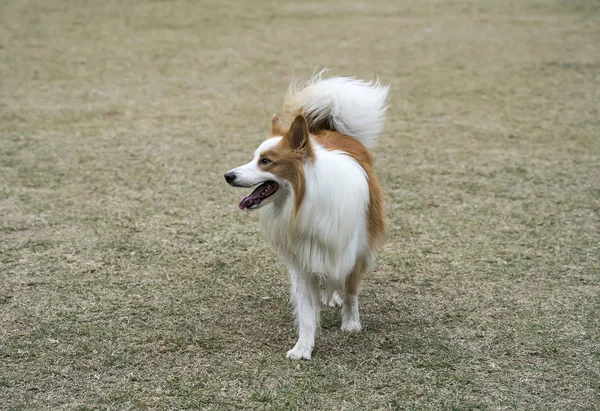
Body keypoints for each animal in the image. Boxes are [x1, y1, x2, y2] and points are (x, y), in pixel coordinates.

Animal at [225, 71, 390, 360]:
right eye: (254, 157)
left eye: (265, 161)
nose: (228, 175)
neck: (303, 201)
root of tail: (331, 128)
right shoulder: (302, 258)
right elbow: (305, 310)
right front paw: (303, 346)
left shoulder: (354, 249)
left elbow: (351, 289)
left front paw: (351, 323)